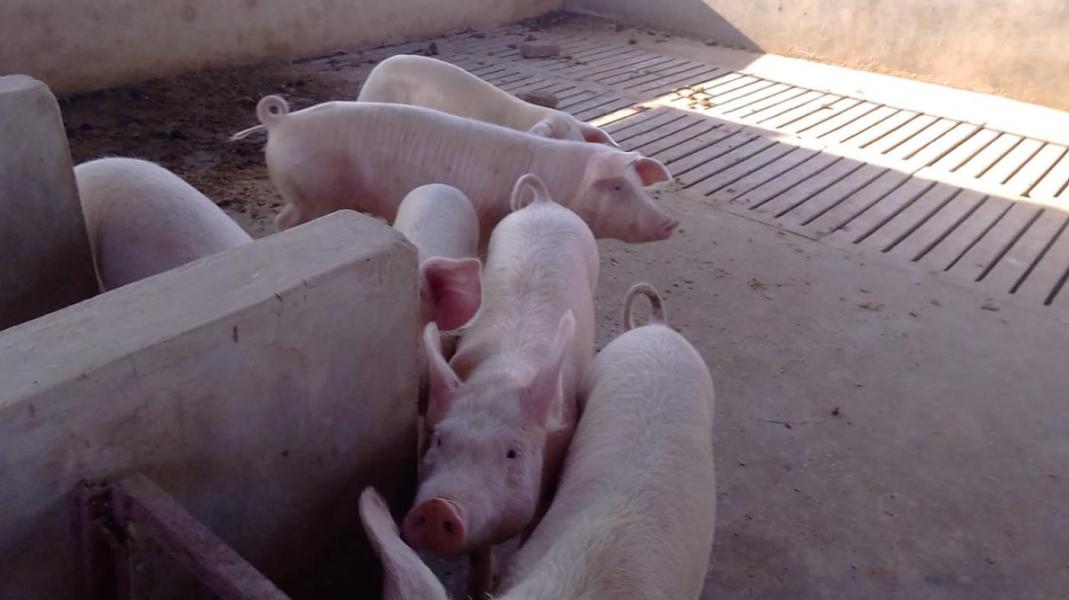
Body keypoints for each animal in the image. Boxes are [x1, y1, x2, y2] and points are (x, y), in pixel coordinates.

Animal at [229, 96, 676, 245]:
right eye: (617, 187)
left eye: (638, 184)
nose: (670, 222)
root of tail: (282, 121)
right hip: (312, 193)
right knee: (284, 219)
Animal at [402, 174, 598, 597]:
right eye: (438, 440)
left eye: (512, 453)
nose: (438, 507)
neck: (501, 375)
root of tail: (543, 202)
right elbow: (480, 548)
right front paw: (478, 586)